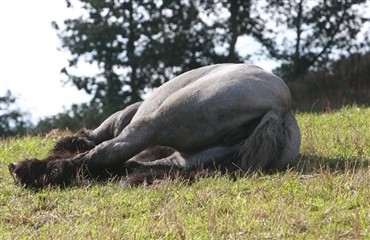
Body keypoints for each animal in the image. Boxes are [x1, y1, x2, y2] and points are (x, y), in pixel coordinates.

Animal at [7, 64, 300, 189]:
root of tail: (279, 110)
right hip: (184, 158)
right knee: (124, 164)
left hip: (161, 121)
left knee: (110, 152)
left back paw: (30, 170)